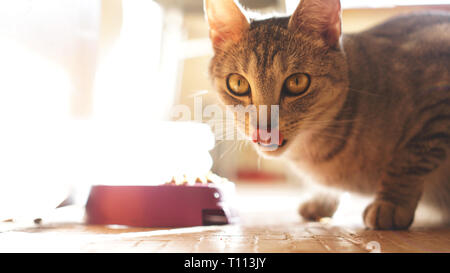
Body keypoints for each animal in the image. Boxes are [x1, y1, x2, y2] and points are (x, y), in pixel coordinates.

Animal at [205, 0, 450, 230]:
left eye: (297, 82)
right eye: (238, 83)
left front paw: (391, 203)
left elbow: (408, 160)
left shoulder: (437, 104)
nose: (263, 129)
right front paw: (322, 199)